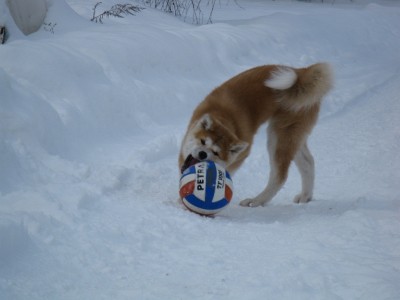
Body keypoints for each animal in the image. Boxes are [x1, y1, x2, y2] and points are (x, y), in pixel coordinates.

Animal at [180, 62, 332, 207]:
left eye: (216, 153)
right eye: (203, 141)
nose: (203, 154)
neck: (224, 118)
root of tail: (301, 72)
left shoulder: (241, 154)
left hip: (278, 137)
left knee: (280, 176)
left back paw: (256, 201)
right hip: (293, 135)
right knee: (308, 162)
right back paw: (305, 196)